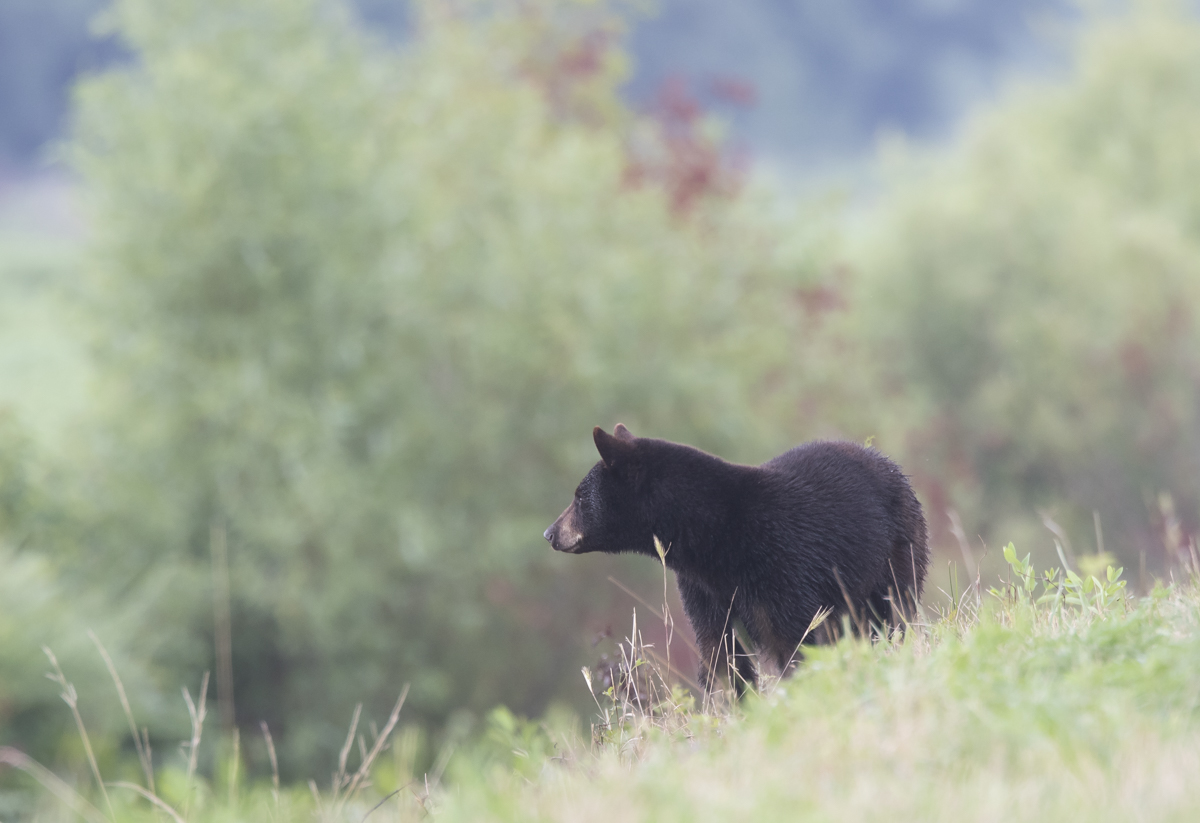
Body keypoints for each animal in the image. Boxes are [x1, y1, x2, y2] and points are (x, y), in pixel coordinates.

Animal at [544, 424, 929, 693]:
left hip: (896, 550)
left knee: (896, 609)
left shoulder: (783, 565)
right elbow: (718, 652)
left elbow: (794, 640)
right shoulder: (702, 589)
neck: (713, 542)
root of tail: (884, 460)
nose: (550, 533)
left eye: (579, 497)